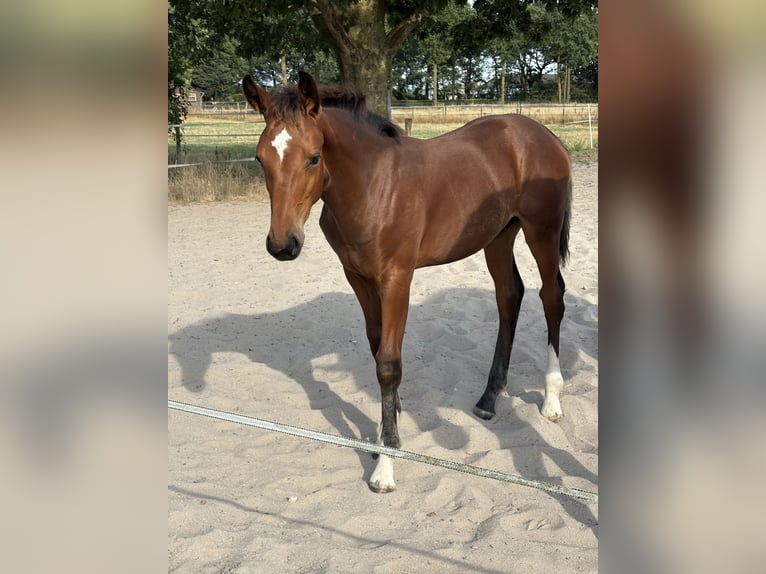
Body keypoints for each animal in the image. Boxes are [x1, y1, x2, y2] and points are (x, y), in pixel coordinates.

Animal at [242, 71, 572, 493]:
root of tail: (545, 135)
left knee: (552, 297)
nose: (283, 245)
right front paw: (385, 429)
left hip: (541, 232)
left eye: (314, 157)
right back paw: (489, 398)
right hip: (498, 236)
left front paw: (387, 461)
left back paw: (552, 400)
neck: (373, 187)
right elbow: (375, 347)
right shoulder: (357, 277)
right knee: (509, 296)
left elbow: (388, 362)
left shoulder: (397, 278)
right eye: (260, 158)